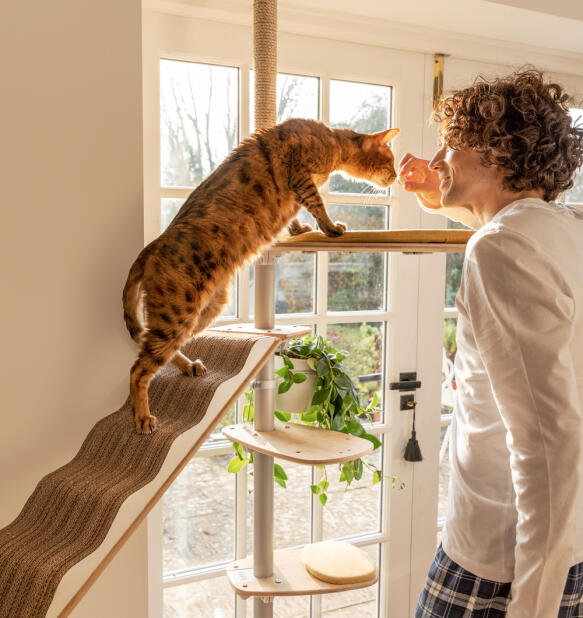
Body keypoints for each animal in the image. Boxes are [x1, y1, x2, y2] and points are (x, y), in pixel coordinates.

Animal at [122, 118, 396, 430]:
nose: (397, 175)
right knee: (138, 368)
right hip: (177, 314)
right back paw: (142, 416)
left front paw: (299, 230)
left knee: (161, 351)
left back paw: (188, 365)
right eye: (391, 160)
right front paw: (330, 228)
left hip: (205, 311)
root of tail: (151, 245)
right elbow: (317, 206)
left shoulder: (294, 192)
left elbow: (295, 217)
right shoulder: (300, 175)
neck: (331, 140)